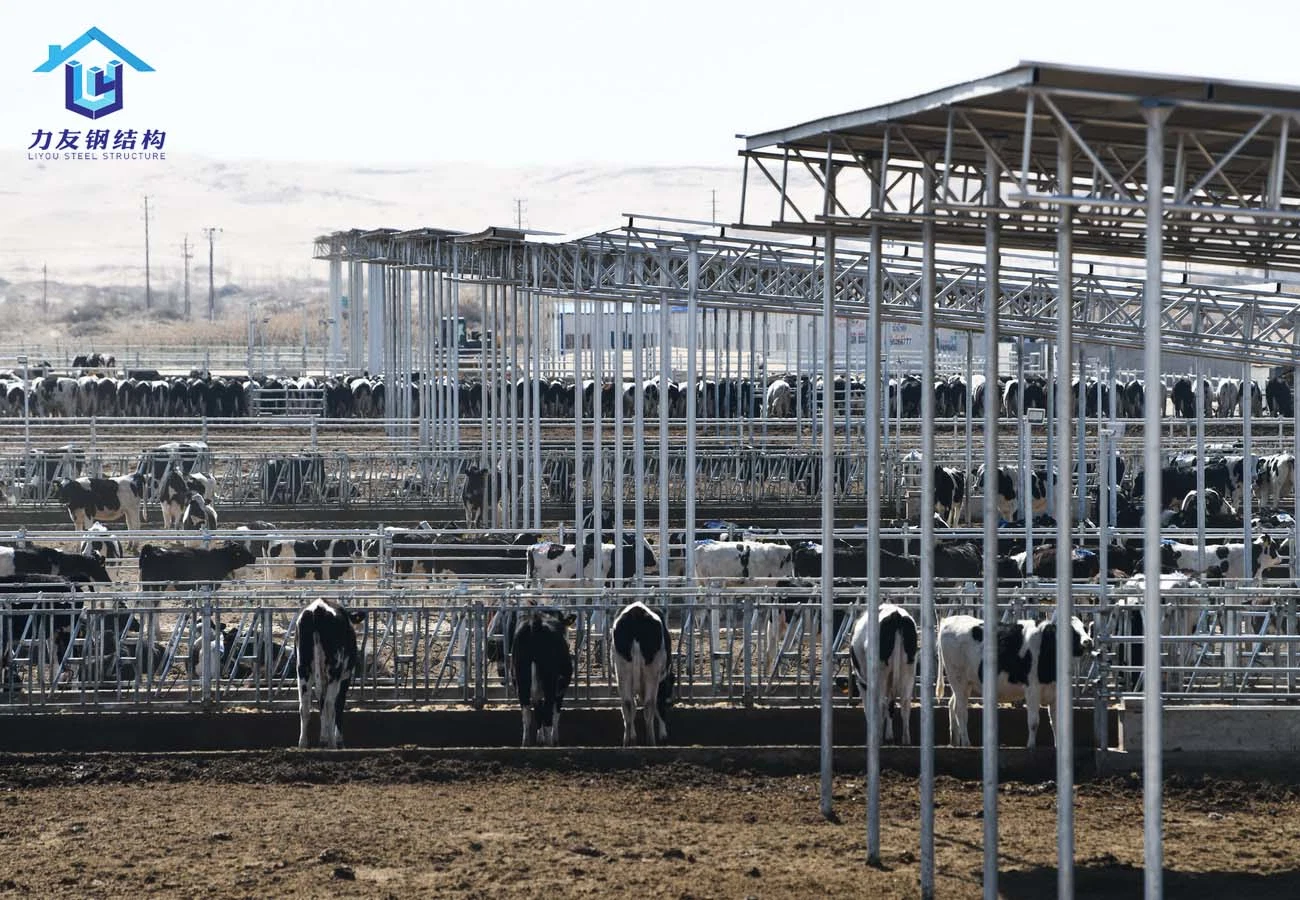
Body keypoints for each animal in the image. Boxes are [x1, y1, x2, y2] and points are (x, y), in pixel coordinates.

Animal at [291, 598, 361, 754]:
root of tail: (318, 608)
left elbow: (320, 703)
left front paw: (322, 739)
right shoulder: (345, 677)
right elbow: (338, 705)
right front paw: (338, 741)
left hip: (302, 667)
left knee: (305, 705)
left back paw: (303, 744)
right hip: (334, 670)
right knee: (330, 704)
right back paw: (333, 744)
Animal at [506, 608, 574, 749]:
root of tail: (535, 623)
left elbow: (538, 713)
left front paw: (539, 739)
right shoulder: (561, 689)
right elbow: (555, 714)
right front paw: (554, 739)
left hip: (521, 679)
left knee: (526, 712)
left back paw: (526, 742)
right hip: (550, 681)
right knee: (548, 709)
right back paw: (549, 743)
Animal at [608, 603, 676, 743]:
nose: (671, 702)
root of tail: (636, 612)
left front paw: (633, 736)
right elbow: (659, 706)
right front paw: (663, 734)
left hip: (622, 671)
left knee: (627, 705)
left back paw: (627, 742)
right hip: (652, 673)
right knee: (649, 704)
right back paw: (651, 742)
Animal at [847, 603, 920, 743]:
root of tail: (895, 614)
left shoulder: (862, 682)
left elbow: (869, 707)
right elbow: (890, 705)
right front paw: (889, 735)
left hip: (880, 673)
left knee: (880, 703)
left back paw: (879, 738)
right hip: (908, 669)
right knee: (905, 703)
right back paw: (906, 740)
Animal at [941, 611, 1092, 754]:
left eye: (1084, 628)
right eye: (1071, 630)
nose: (1088, 641)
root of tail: (949, 621)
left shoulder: (1055, 691)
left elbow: (1056, 722)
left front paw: (1058, 747)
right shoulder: (1032, 689)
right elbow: (1034, 721)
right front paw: (1031, 746)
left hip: (966, 683)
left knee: (952, 704)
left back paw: (955, 742)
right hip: (958, 679)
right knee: (961, 710)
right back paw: (966, 743)